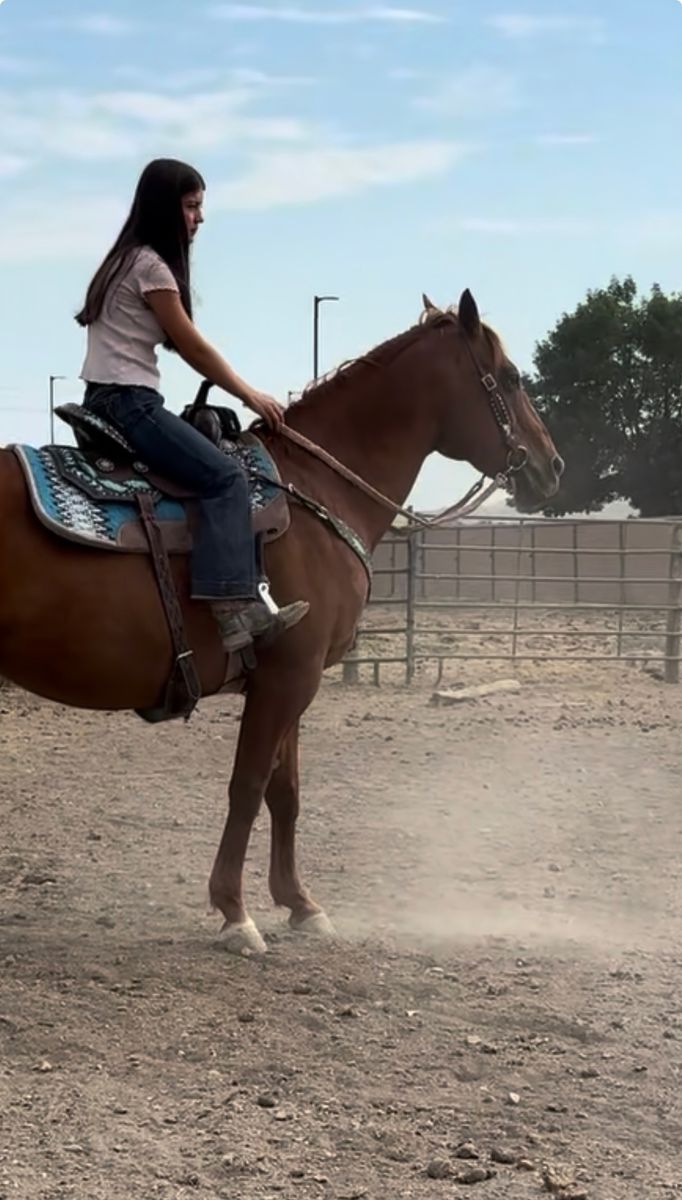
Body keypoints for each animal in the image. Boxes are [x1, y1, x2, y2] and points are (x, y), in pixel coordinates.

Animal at [0, 290, 562, 954]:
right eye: (512, 377)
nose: (552, 466)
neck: (314, 489)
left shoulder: (291, 680)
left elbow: (284, 793)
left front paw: (300, 904)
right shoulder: (288, 677)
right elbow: (247, 787)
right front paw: (234, 913)